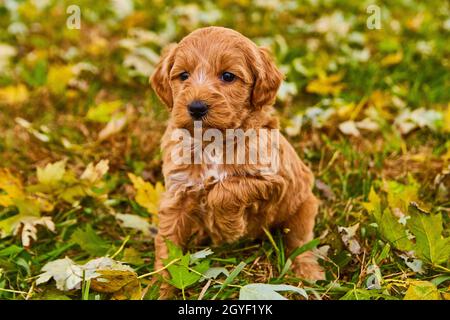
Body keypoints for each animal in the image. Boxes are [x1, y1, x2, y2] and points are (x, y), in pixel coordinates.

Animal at [151, 26, 324, 298]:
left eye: (228, 76)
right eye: (183, 75)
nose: (196, 107)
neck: (212, 141)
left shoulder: (275, 180)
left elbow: (224, 191)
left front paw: (229, 228)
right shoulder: (177, 194)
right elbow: (168, 245)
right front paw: (159, 288)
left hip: (303, 206)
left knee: (300, 242)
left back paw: (308, 273)